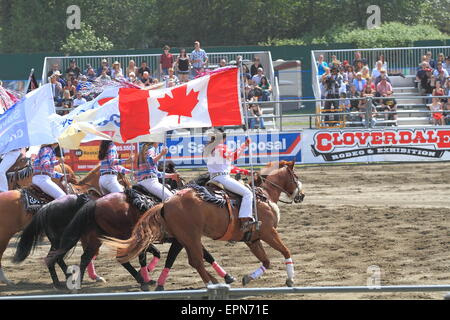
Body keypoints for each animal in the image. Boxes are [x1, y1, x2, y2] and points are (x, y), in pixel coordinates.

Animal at [103, 161, 304, 288]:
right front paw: (291, 279)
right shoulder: (269, 233)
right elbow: (286, 251)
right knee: (197, 261)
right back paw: (210, 283)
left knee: (194, 261)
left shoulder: (252, 239)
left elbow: (266, 261)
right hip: (191, 237)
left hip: (187, 239)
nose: (301, 195)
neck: (263, 196)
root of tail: (166, 203)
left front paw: (248, 278)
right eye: (295, 176)